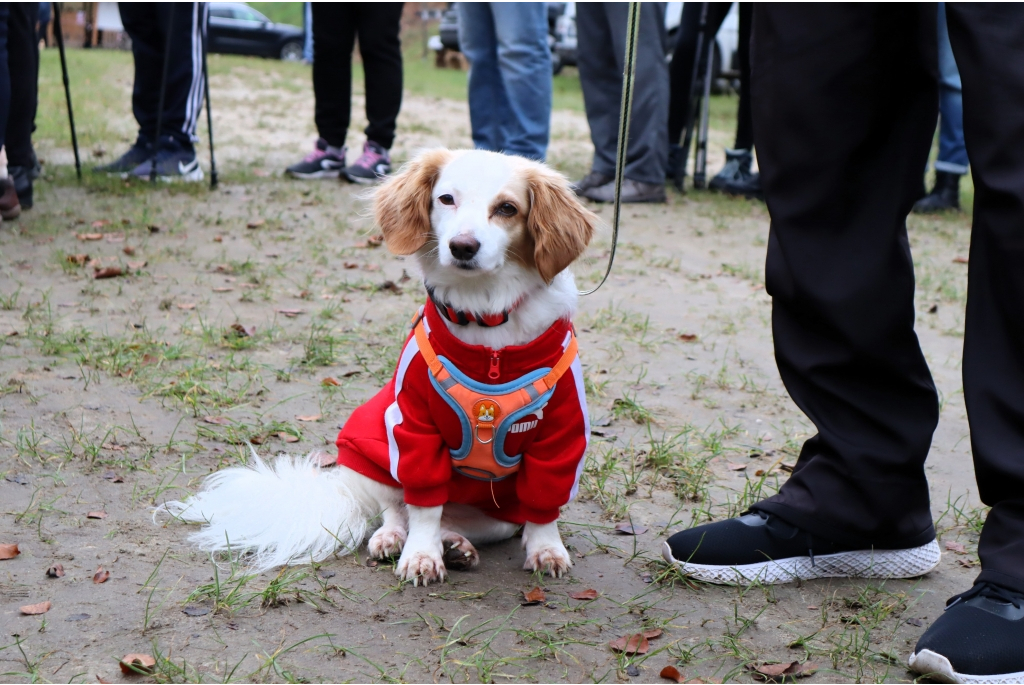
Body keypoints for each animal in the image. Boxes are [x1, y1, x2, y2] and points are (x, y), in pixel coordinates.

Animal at [159, 148, 598, 581]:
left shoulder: (561, 435)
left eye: (507, 208)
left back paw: (456, 545)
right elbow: (423, 505)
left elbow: (542, 505)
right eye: (446, 199)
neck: (487, 320)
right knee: (398, 509)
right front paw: (421, 555)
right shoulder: (414, 425)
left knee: (455, 518)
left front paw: (546, 549)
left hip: (499, 513)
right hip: (370, 456)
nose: (462, 246)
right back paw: (394, 538)